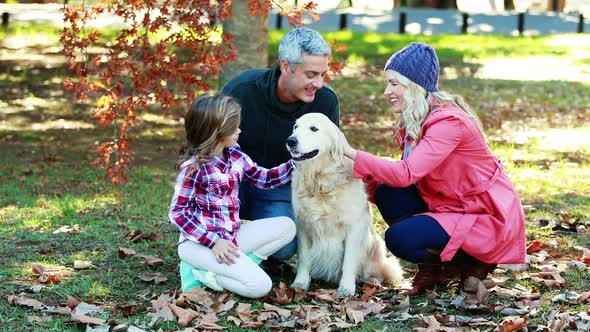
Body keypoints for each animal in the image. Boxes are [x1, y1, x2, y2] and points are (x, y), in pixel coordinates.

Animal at [286, 113, 402, 296]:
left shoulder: (354, 227)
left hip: (376, 245)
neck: (320, 181)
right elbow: (304, 257)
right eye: (296, 127)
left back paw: (372, 281)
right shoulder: (302, 224)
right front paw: (300, 282)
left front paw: (347, 287)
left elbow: (349, 260)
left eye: (314, 128)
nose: (290, 140)